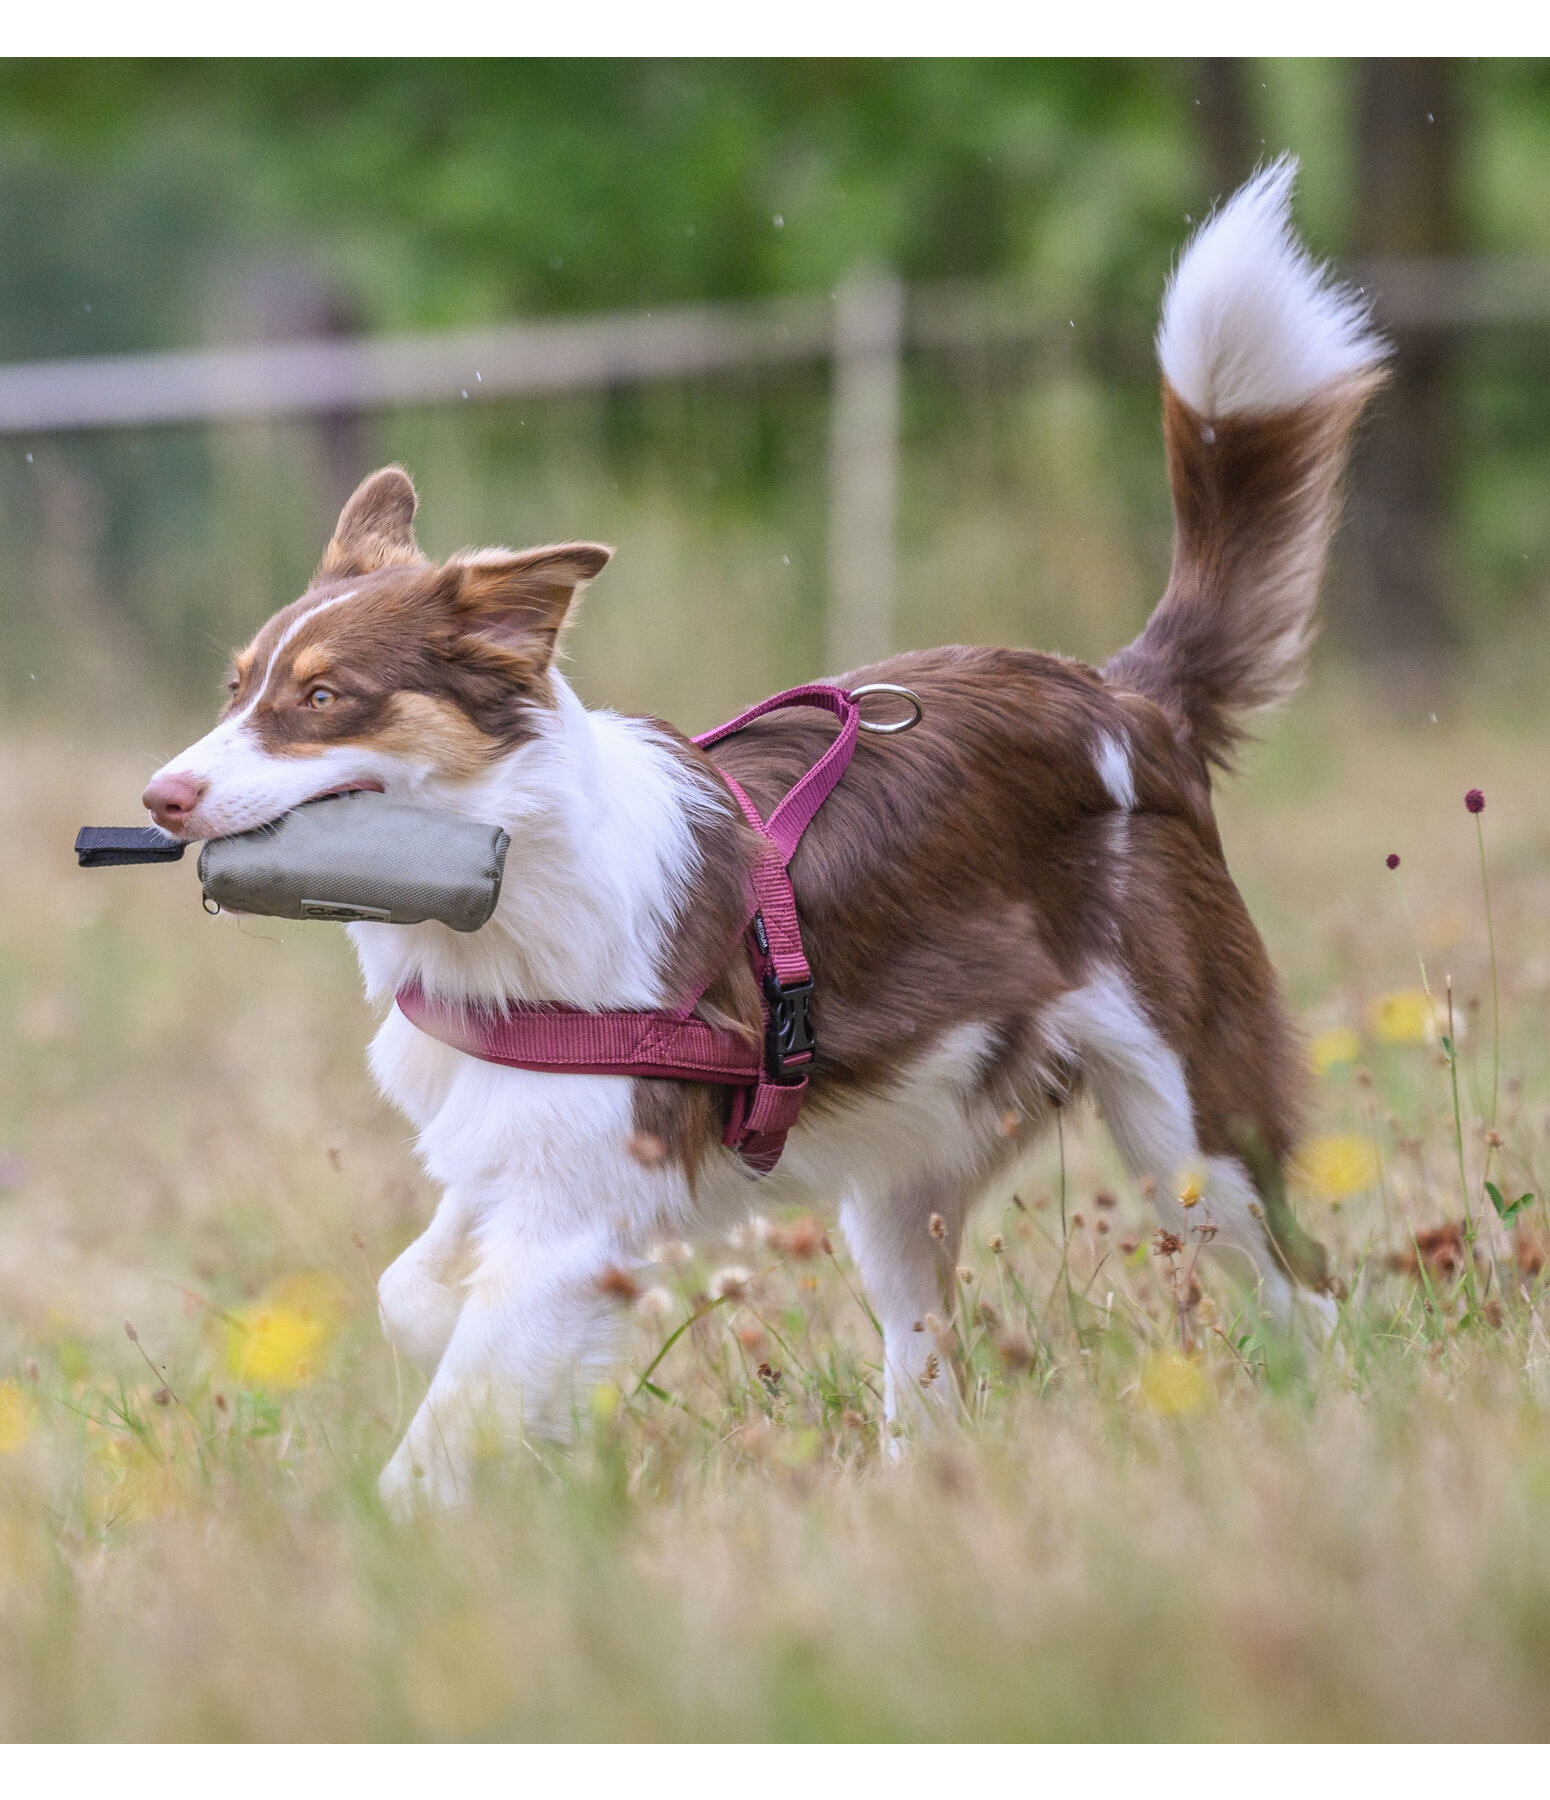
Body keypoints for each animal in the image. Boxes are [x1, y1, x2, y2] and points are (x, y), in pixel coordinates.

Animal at [144, 162, 1375, 1504]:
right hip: (909, 1162)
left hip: (1186, 1128)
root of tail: (1120, 697)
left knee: (1303, 1289)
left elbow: (445, 1421)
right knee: (922, 1341)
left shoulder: (572, 1208)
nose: (160, 798)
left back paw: (1327, 1432)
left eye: (323, 699)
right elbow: (407, 1293)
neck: (504, 879)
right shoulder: (513, 1152)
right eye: (235, 689)